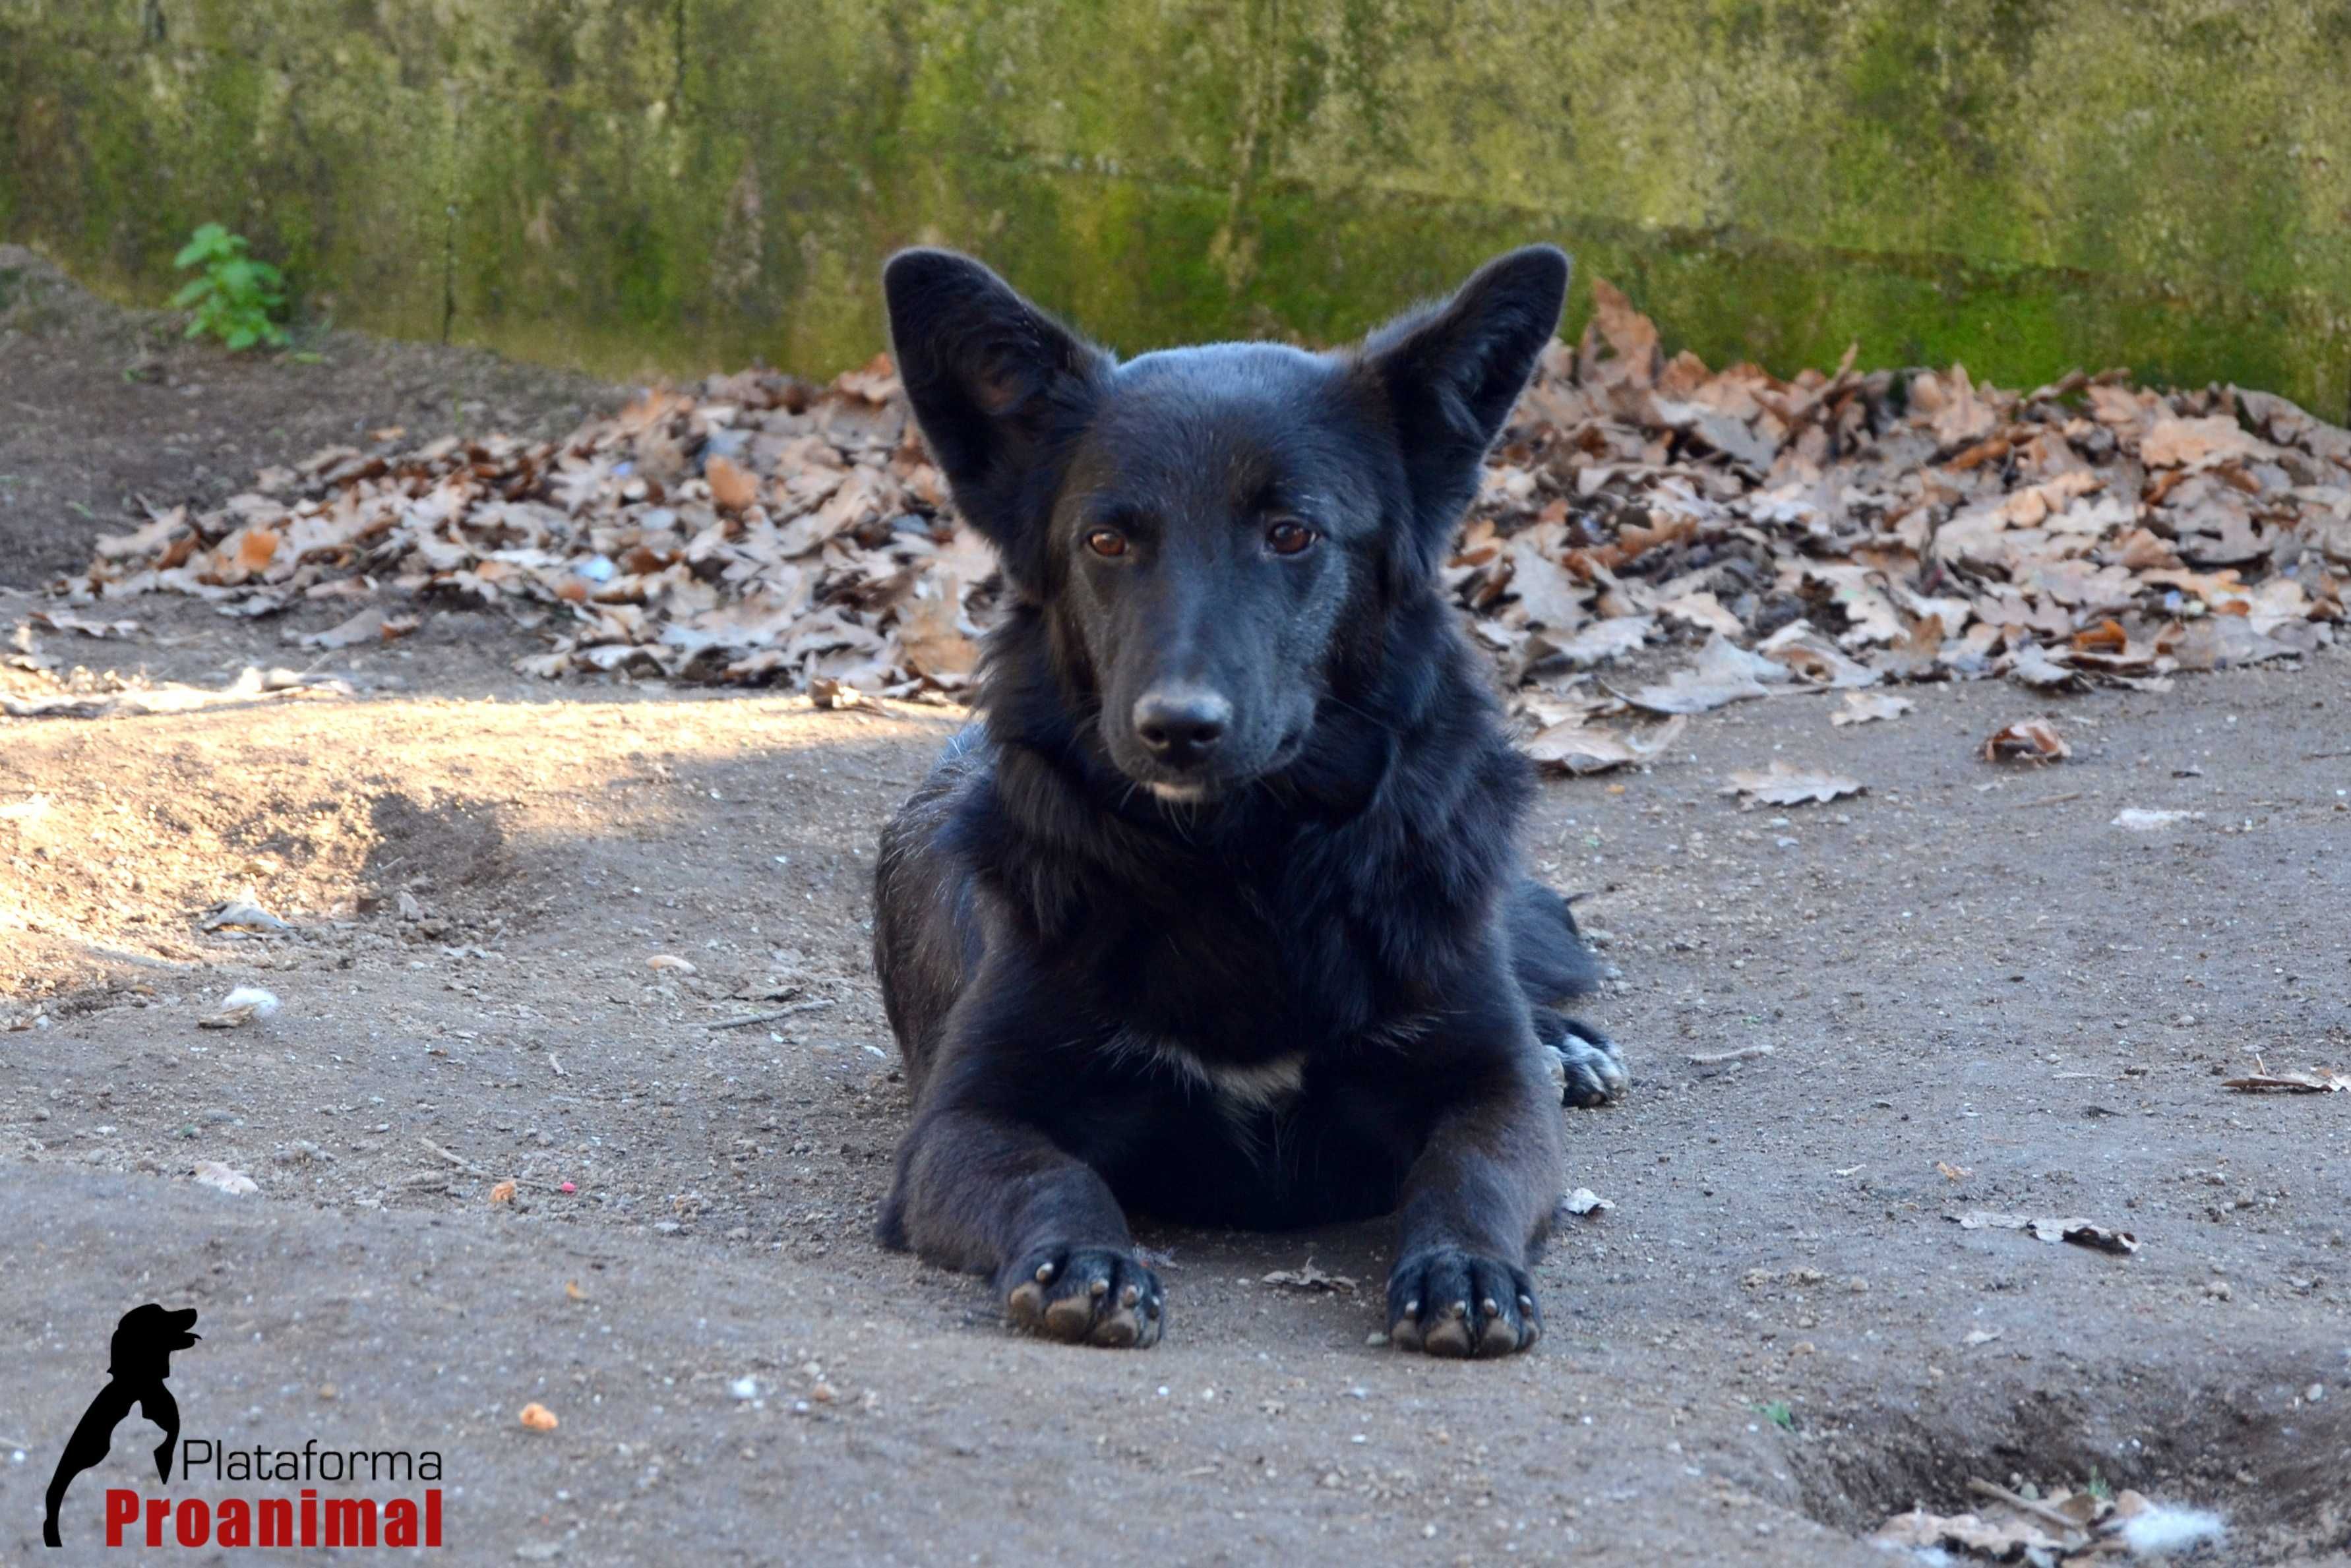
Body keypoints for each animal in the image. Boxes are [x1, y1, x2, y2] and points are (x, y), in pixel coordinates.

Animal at [874, 245, 1626, 1363]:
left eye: (1290, 533)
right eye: (1106, 541)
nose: (1177, 728)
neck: (1243, 868)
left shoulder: (1491, 1090)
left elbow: (1471, 1167)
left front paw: (1463, 1266)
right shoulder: (959, 1126)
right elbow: (1054, 1173)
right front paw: (1086, 1258)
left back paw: (1566, 1041)